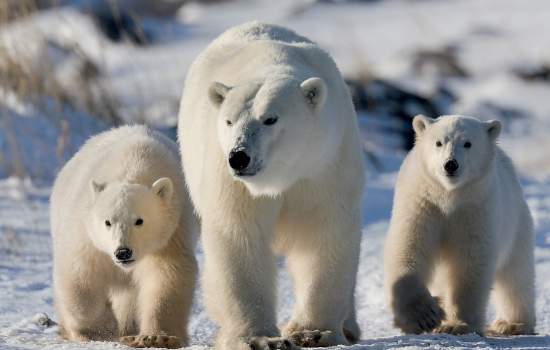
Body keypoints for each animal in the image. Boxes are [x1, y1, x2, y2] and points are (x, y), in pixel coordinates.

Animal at [179, 22, 364, 350]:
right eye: (228, 121)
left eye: (270, 119)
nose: (239, 157)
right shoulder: (231, 181)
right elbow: (239, 235)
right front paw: (260, 338)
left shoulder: (324, 166)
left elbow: (323, 232)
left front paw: (313, 333)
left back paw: (349, 326)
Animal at [386, 115, 536, 336]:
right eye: (439, 142)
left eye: (468, 143)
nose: (450, 165)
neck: (449, 195)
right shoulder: (422, 203)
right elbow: (410, 246)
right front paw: (424, 317)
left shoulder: (475, 207)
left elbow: (470, 262)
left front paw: (458, 324)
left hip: (517, 224)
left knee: (516, 275)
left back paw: (512, 324)